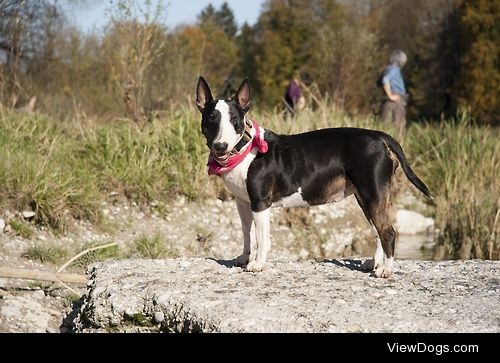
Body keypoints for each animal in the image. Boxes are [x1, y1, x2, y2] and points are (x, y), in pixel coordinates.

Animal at [197, 76, 432, 276]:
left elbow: (262, 239)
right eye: (211, 119)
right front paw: (244, 258)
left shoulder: (260, 203)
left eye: (235, 119)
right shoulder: (243, 202)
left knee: (387, 231)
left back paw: (386, 270)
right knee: (377, 230)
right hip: (365, 197)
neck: (245, 148)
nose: (220, 146)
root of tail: (379, 136)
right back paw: (373, 263)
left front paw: (257, 264)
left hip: (373, 193)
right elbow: (247, 233)